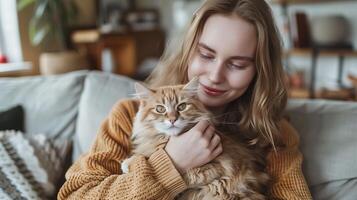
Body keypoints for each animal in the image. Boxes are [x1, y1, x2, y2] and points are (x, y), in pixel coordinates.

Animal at [121, 78, 268, 200]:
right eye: (160, 109)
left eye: (182, 106)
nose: (172, 119)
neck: (167, 139)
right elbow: (149, 153)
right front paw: (130, 162)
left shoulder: (216, 168)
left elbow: (182, 177)